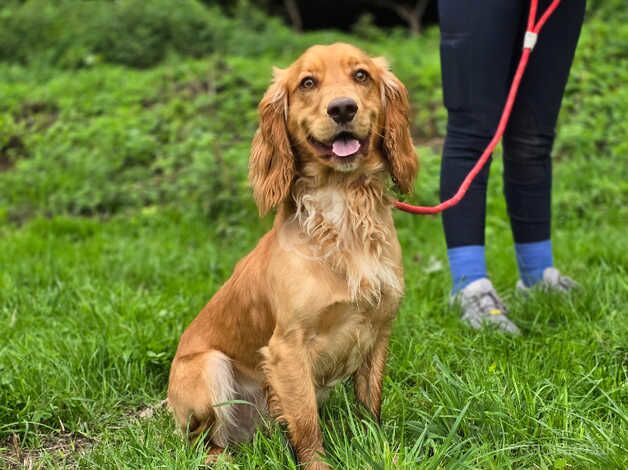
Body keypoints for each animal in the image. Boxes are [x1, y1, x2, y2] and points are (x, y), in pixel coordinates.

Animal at [168, 42, 418, 468]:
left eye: (361, 75)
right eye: (308, 82)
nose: (342, 108)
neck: (343, 206)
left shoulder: (379, 327)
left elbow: (371, 406)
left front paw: (380, 450)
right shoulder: (288, 349)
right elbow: (306, 425)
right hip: (208, 368)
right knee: (203, 442)